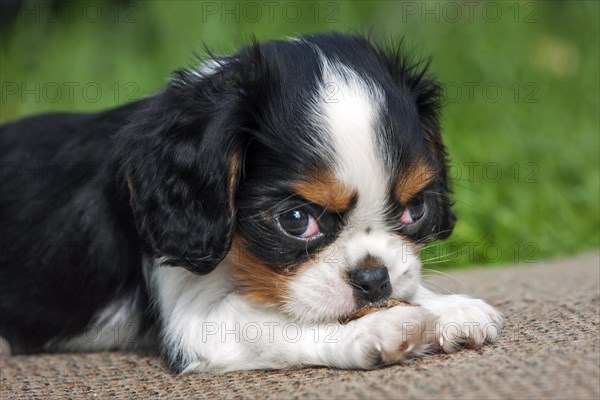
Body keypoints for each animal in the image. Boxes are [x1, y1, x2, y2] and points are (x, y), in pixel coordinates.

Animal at [0, 32, 502, 374]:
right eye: (297, 221)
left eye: (414, 210)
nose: (373, 279)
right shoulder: (197, 322)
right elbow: (275, 321)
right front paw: (378, 328)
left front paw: (449, 308)